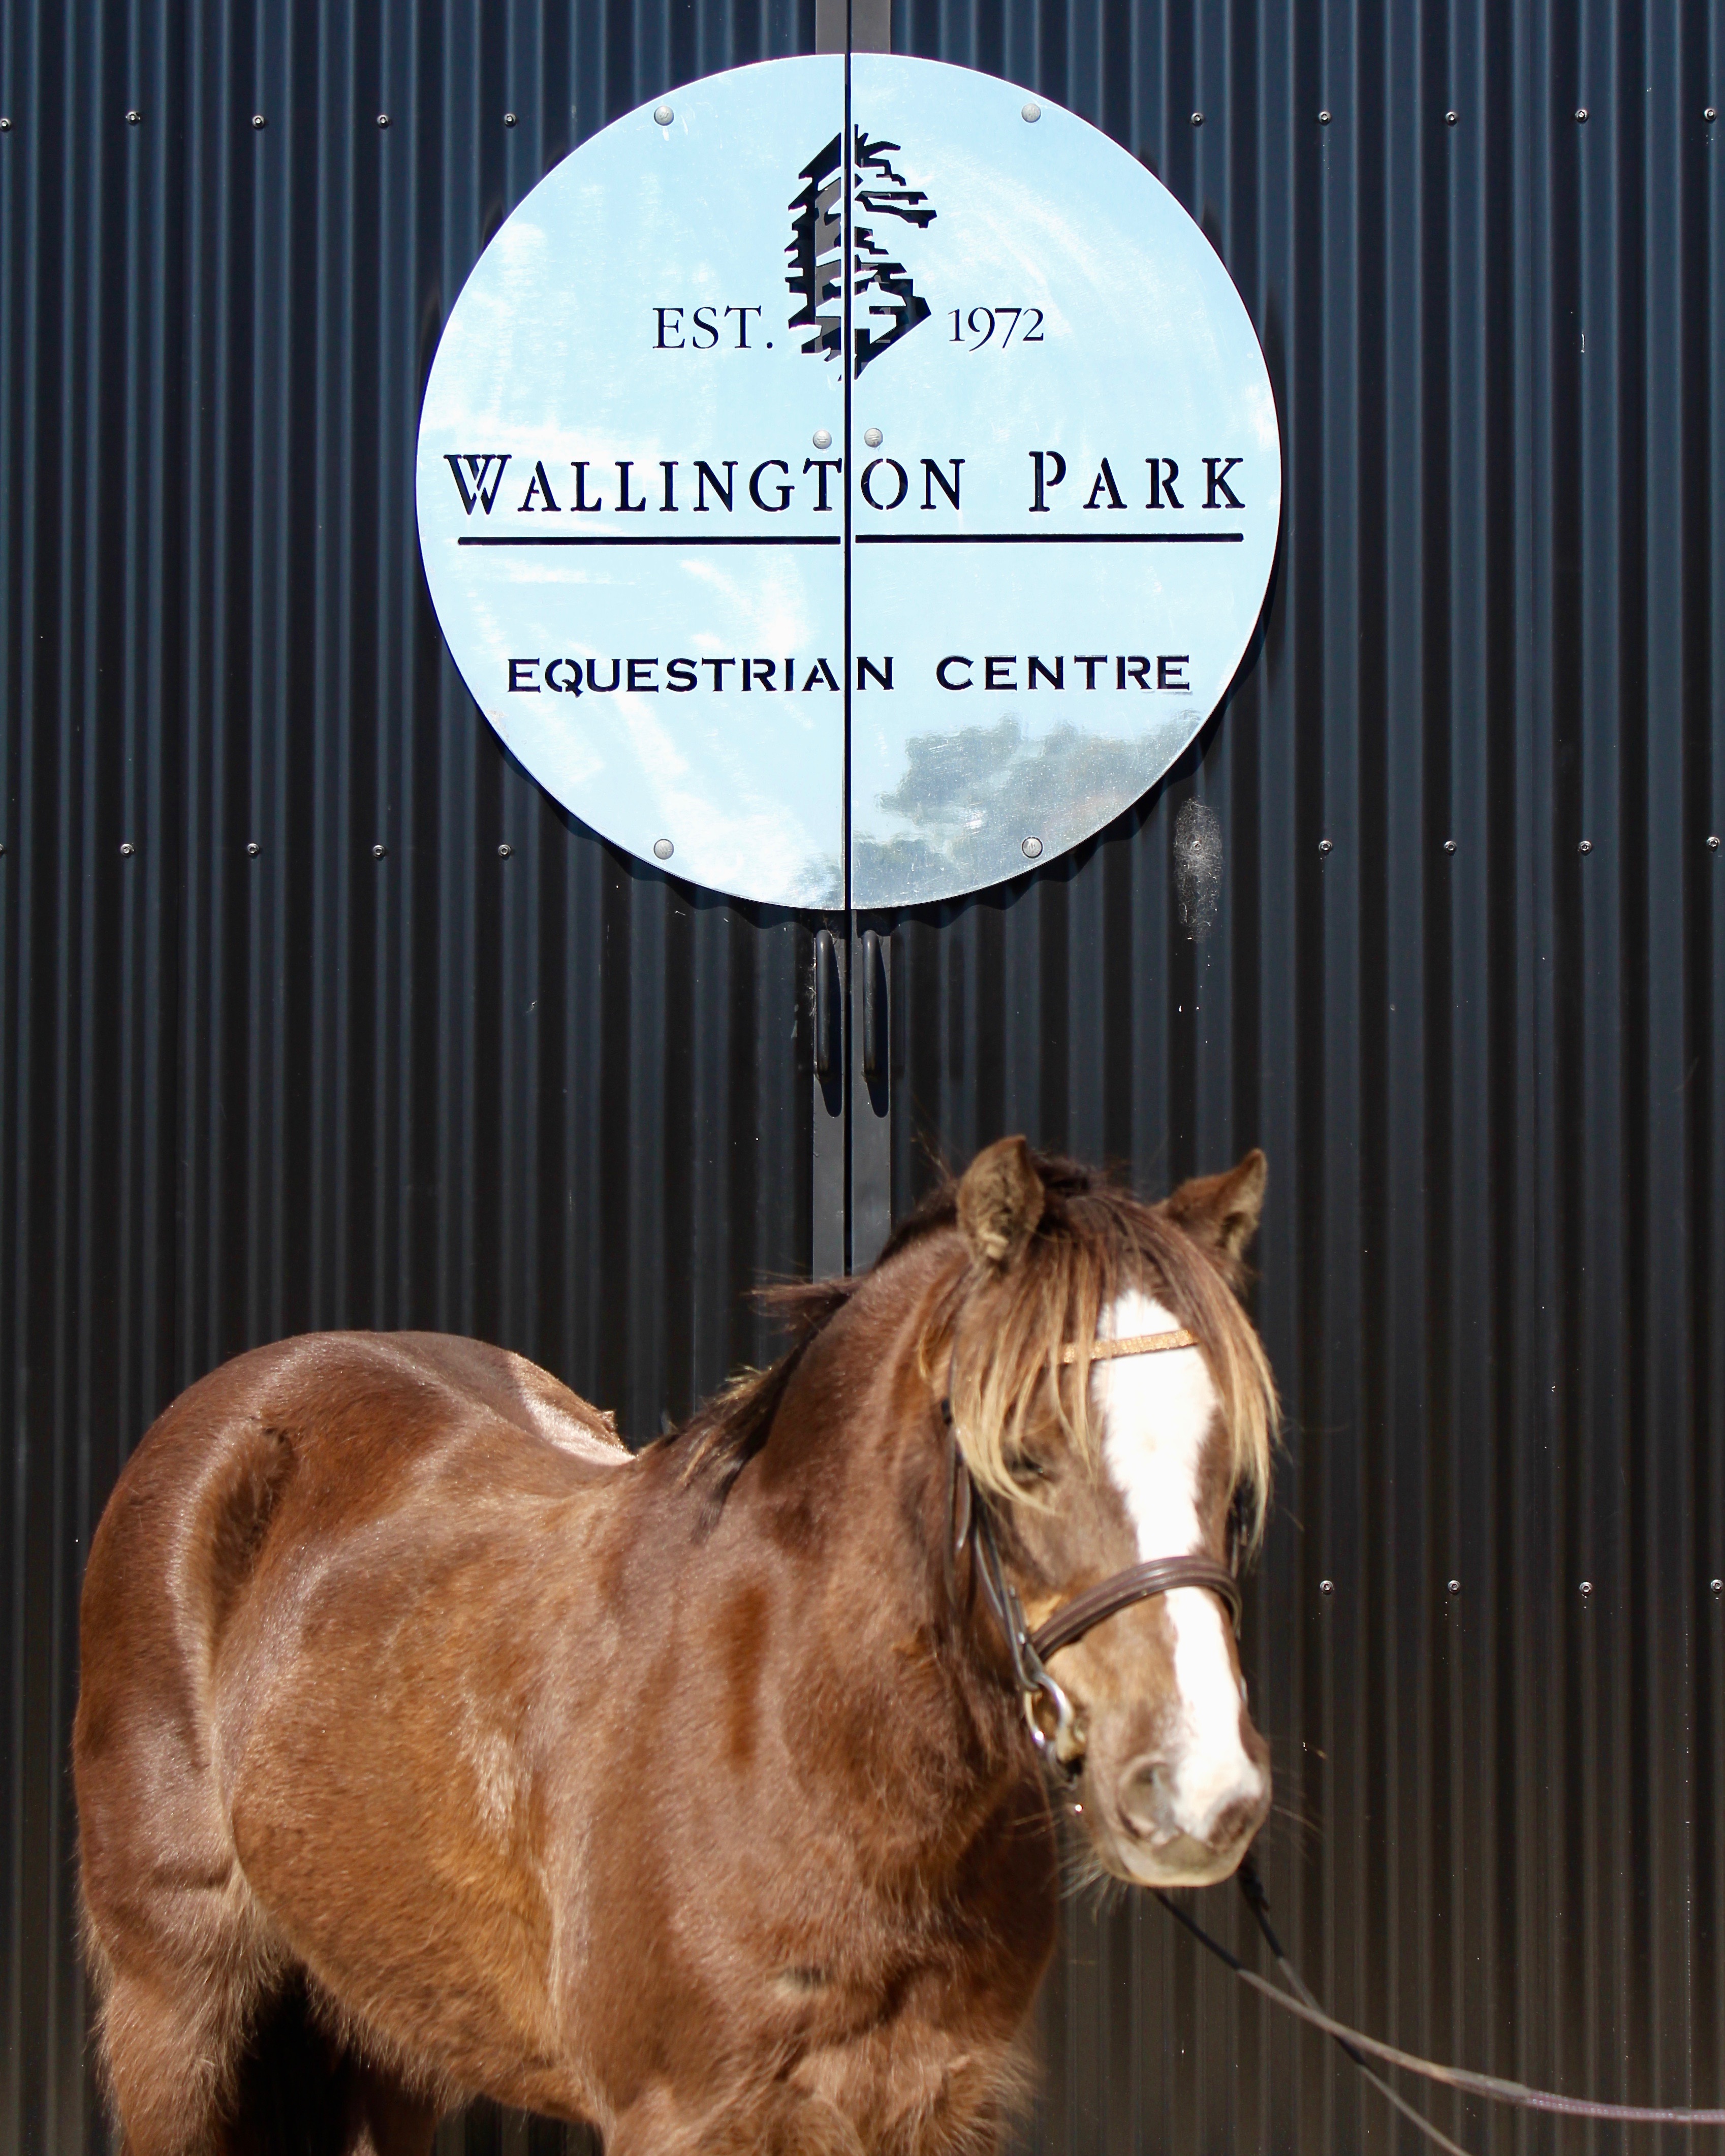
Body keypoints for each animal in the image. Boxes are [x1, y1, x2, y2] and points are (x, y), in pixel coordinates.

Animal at [74, 1136, 1278, 2156]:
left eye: (1231, 1470)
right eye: (1023, 1454)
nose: (1198, 1793)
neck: (801, 1740)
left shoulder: (935, 2104)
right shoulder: (687, 2116)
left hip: (383, 2022)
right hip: (175, 2015)